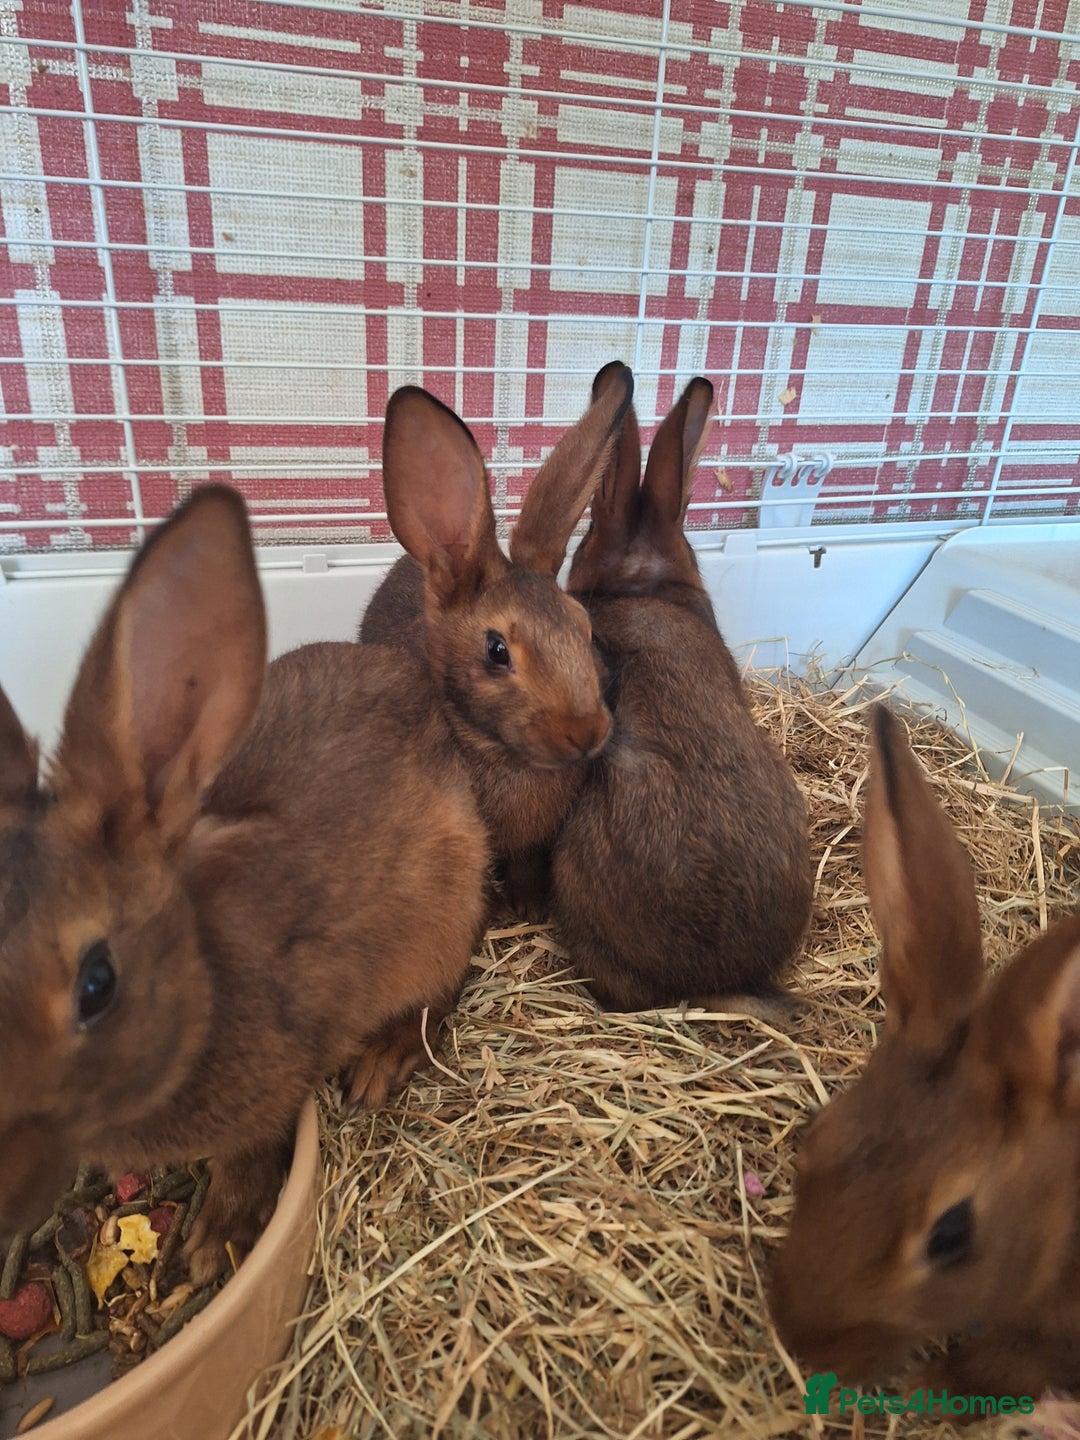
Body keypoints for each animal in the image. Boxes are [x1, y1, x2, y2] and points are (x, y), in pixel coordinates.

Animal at [0, 486, 489, 1285]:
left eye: (97, 985)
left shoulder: (278, 1083)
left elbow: (249, 1157)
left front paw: (211, 1245)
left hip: (447, 909)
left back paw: (383, 1062)